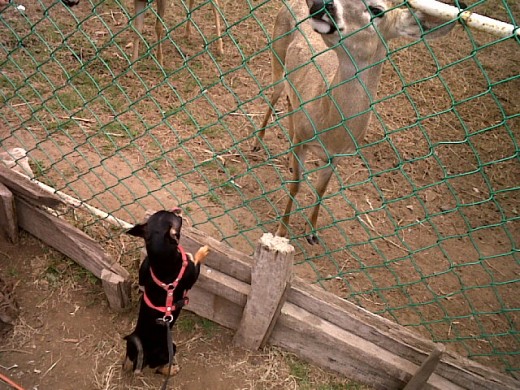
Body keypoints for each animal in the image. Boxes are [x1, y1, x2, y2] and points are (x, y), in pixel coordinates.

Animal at [124, 209, 209, 376]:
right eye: (177, 218)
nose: (177, 209)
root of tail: (142, 358)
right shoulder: (192, 272)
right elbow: (195, 259)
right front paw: (203, 251)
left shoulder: (144, 272)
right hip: (170, 349)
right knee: (159, 368)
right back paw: (172, 369)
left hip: (131, 347)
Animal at [254, 0, 462, 244]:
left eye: (377, 10)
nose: (319, 4)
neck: (329, 128)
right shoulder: (304, 139)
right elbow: (296, 185)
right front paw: (281, 231)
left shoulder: (336, 156)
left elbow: (321, 189)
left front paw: (312, 231)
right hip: (277, 53)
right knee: (274, 94)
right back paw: (257, 143)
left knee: (289, 102)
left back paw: (286, 158)